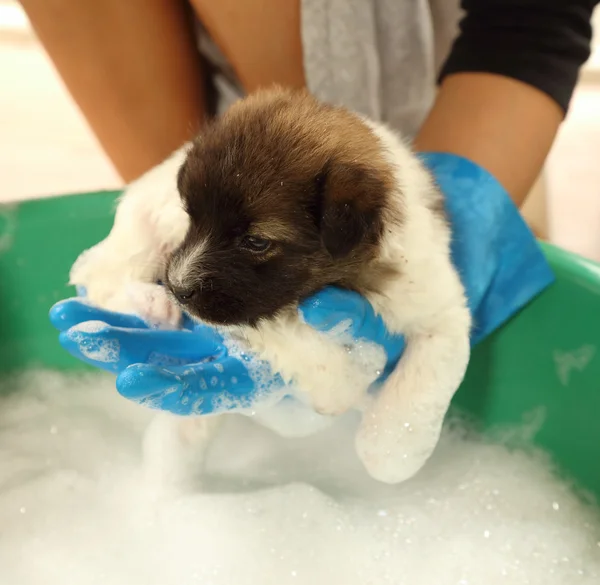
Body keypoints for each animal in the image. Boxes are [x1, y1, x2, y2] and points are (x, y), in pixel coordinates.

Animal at [70, 86, 472, 486]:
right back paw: (152, 305)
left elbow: (423, 385)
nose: (179, 289)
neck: (353, 279)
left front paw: (388, 448)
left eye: (256, 242)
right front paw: (345, 385)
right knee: (101, 278)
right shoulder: (252, 311)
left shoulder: (439, 306)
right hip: (145, 232)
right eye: (192, 217)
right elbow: (309, 349)